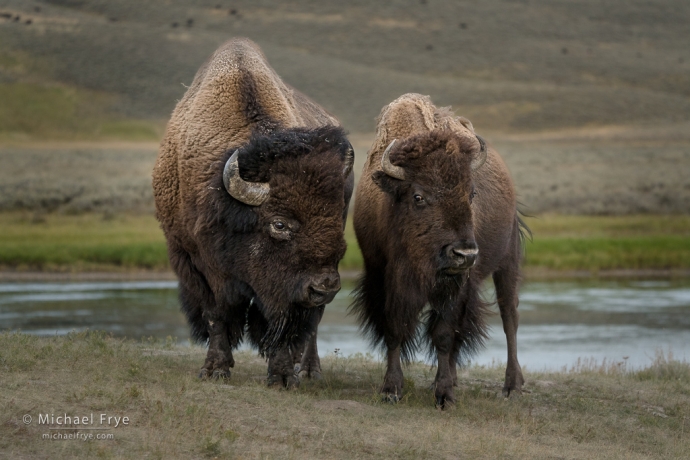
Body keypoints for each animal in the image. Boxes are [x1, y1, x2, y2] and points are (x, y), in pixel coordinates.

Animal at [153, 37, 352, 386]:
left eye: (336, 218)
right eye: (279, 224)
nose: (324, 287)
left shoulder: (282, 289)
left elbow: (282, 322)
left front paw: (283, 377)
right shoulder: (200, 263)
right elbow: (218, 313)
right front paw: (214, 370)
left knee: (312, 323)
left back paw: (309, 369)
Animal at [352, 92, 524, 406]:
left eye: (472, 193)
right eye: (418, 196)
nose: (464, 254)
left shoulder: (454, 287)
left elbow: (443, 335)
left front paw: (444, 396)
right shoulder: (384, 278)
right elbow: (394, 330)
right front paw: (391, 389)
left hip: (508, 261)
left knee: (509, 316)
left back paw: (512, 386)